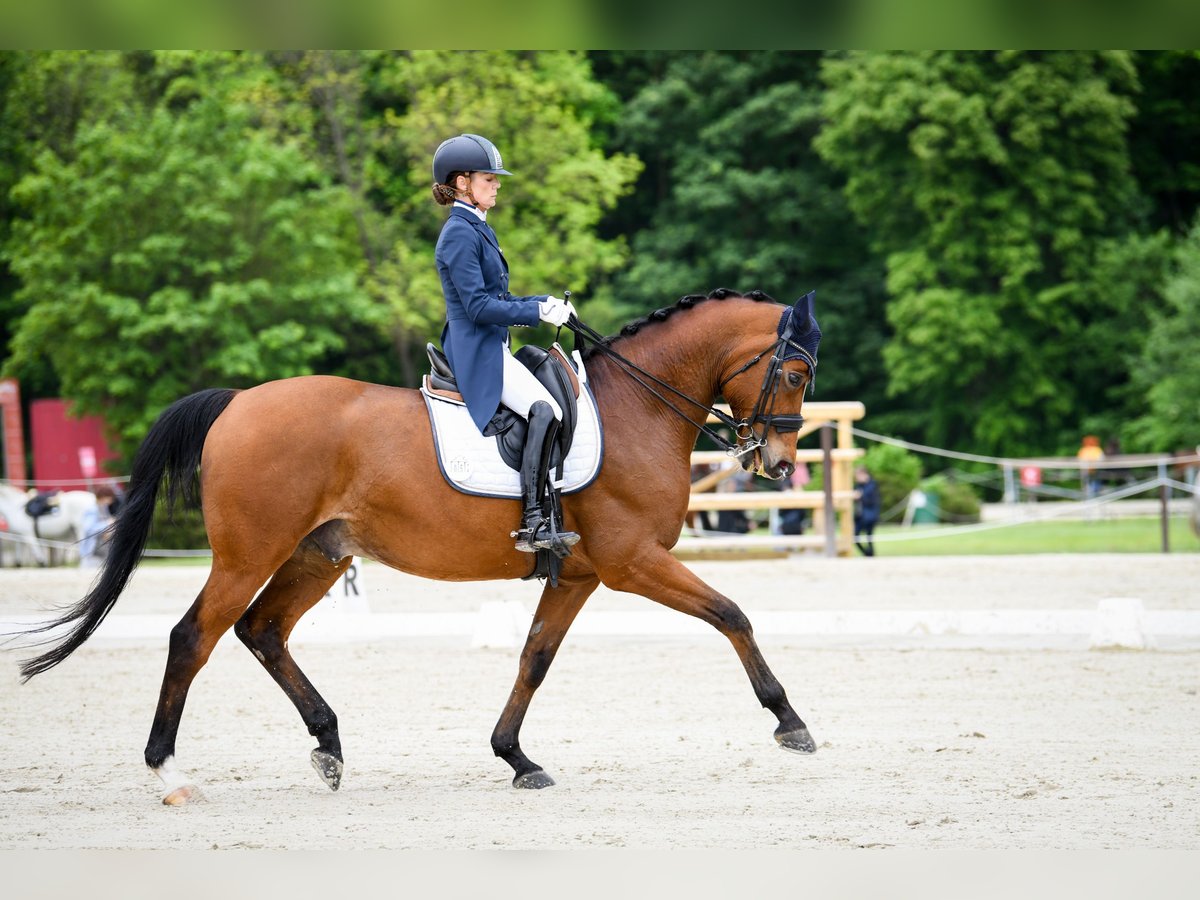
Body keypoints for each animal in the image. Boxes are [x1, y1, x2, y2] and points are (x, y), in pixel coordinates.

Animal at [18, 286, 820, 801]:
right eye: (794, 371)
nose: (778, 465)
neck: (636, 408)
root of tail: (238, 402)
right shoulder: (632, 563)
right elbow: (732, 614)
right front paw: (790, 722)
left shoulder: (579, 574)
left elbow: (534, 658)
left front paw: (515, 757)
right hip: (250, 554)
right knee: (195, 637)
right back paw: (169, 771)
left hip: (319, 555)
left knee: (262, 631)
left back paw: (329, 746)